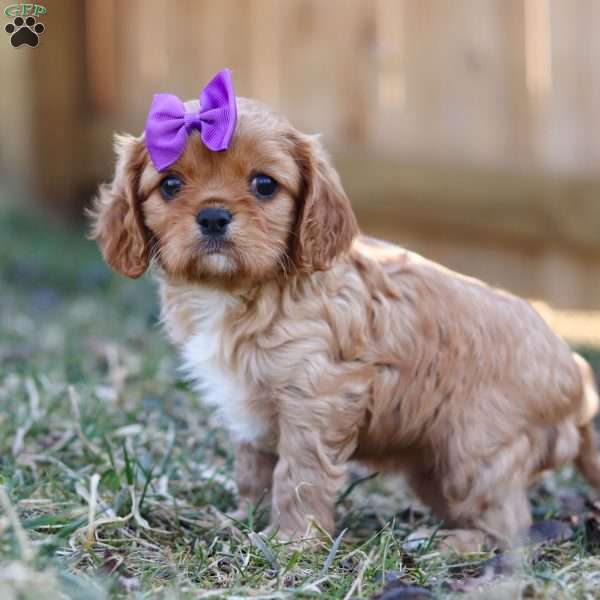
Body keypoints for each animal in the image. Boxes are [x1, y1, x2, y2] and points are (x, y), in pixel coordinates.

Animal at [90, 78, 600, 548]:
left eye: (264, 185)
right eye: (171, 184)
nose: (213, 216)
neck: (242, 291)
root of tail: (578, 377)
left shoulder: (316, 397)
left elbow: (298, 474)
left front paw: (293, 542)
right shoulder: (252, 410)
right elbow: (253, 469)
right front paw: (244, 521)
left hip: (474, 450)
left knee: (510, 526)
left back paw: (450, 545)